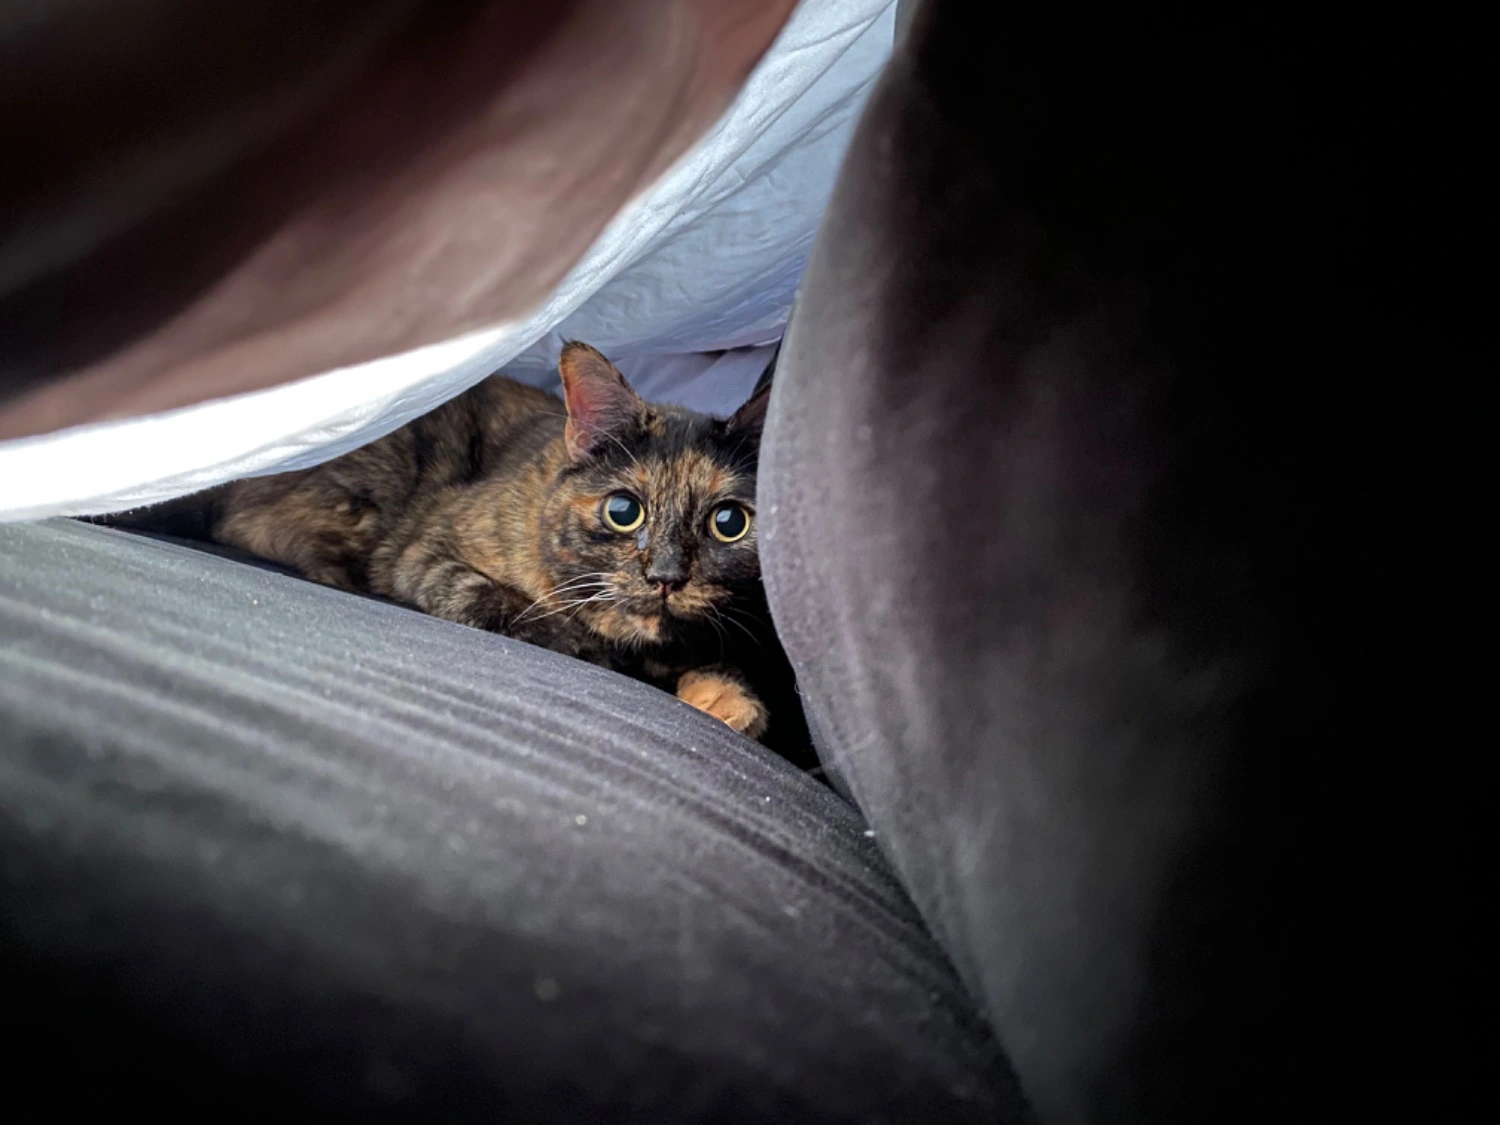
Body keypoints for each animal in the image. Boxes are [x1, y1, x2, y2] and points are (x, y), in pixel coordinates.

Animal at [100, 343, 801, 749]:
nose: (666, 575)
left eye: (729, 523)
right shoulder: (427, 555)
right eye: (624, 510)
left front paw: (727, 700)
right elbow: (521, 614)